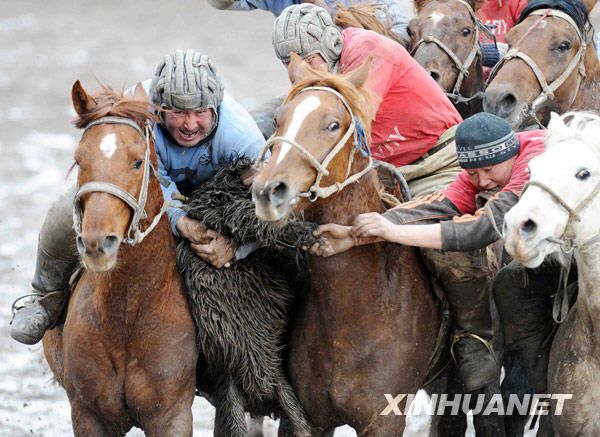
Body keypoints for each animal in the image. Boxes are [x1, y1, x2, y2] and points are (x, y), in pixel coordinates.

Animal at [42, 82, 197, 436]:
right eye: (79, 160)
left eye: (138, 162)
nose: (97, 242)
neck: (126, 315)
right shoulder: (88, 414)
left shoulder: (172, 415)